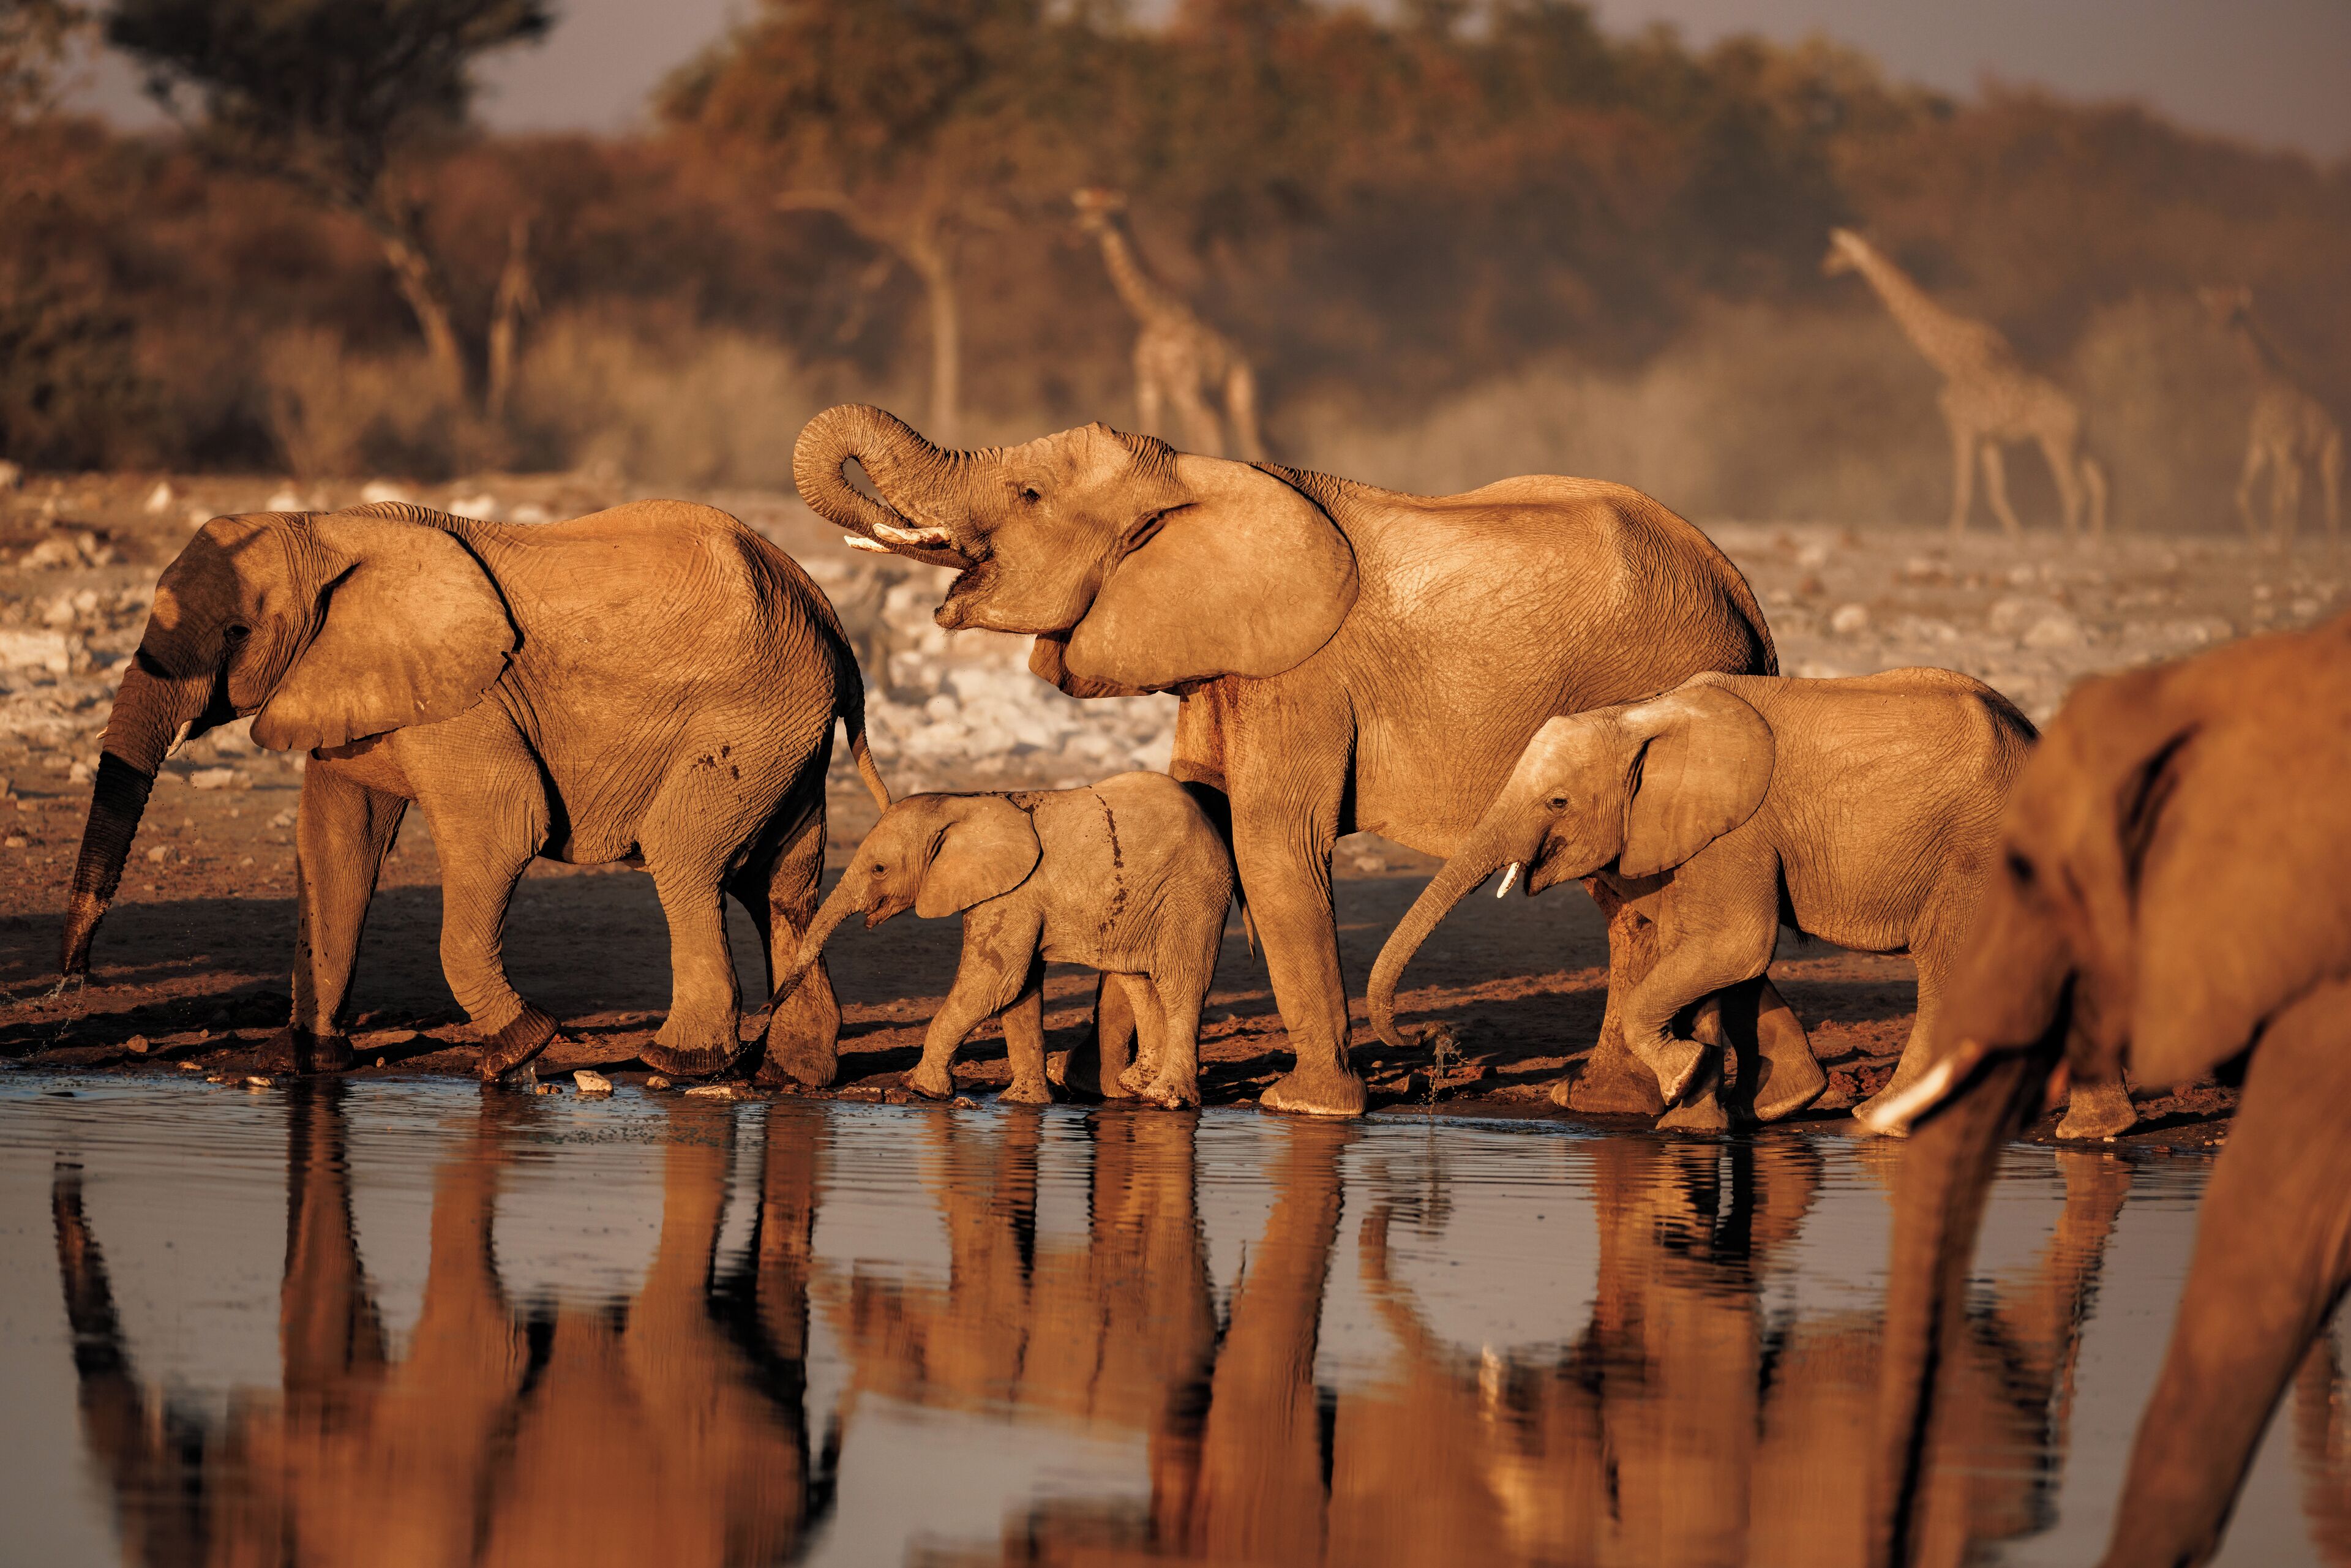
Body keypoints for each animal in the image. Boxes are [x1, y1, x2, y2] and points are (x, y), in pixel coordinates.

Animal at [58, 499, 890, 1084]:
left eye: (236, 631)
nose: (72, 986)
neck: (325, 529)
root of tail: (830, 619)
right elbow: (335, 843)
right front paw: (312, 1062)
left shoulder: (470, 697)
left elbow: (505, 828)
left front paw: (518, 1050)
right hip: (785, 731)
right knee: (778, 884)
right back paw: (796, 1075)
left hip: (748, 719)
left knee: (686, 858)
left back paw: (675, 1064)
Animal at [772, 771, 1234, 1106]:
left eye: (879, 869)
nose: (769, 1005)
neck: (961, 802)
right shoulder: (1011, 894)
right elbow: (1020, 989)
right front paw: (1023, 1103)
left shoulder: (1014, 893)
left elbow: (993, 982)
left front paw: (920, 1089)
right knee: (1137, 977)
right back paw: (1136, 1084)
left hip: (1192, 891)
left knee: (1179, 983)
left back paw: (1165, 1098)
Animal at [1367, 668, 2137, 1134]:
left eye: (1557, 801)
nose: (1426, 1041)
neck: (1641, 713)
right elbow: (1718, 960)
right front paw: (1744, 1107)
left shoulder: (1737, 832)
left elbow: (1734, 944)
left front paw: (1686, 1083)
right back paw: (2098, 1132)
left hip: (1978, 848)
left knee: (1946, 969)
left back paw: (1881, 1120)